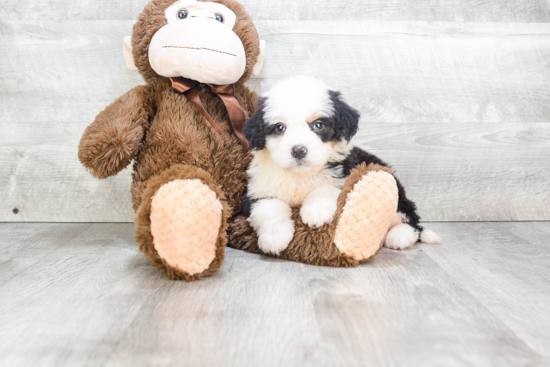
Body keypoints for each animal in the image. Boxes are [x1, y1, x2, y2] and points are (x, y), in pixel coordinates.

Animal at [242, 77, 440, 256]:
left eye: (318, 125)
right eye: (279, 128)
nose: (298, 150)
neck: (301, 175)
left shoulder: (343, 174)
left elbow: (325, 188)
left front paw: (315, 211)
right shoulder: (258, 189)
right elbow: (269, 208)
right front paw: (274, 237)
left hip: (397, 193)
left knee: (410, 220)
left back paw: (398, 237)